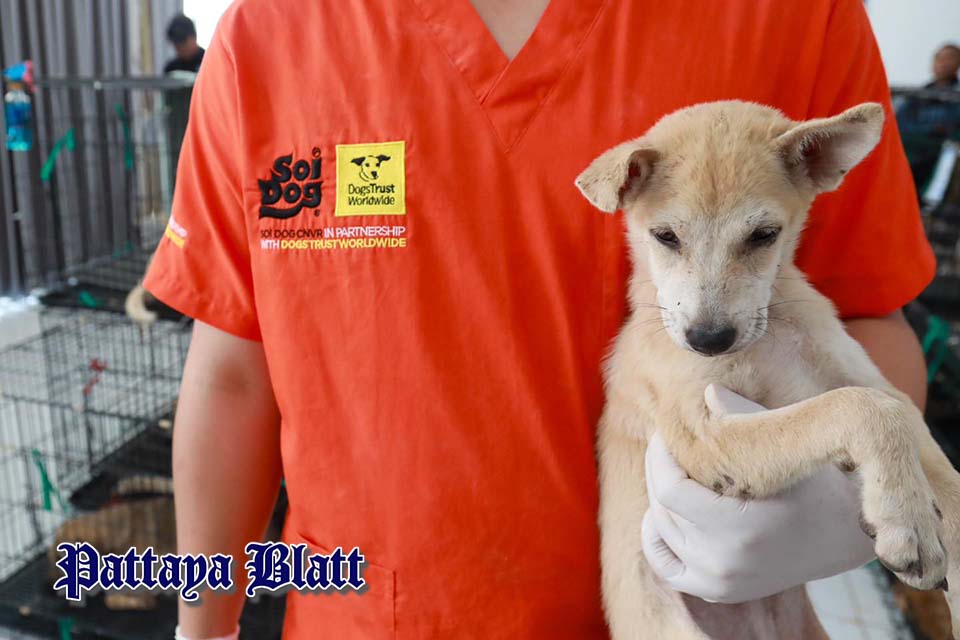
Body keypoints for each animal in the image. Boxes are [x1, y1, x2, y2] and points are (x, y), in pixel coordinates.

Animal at [575, 100, 960, 639]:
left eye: (764, 235)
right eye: (665, 236)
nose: (708, 340)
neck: (766, 340)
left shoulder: (860, 376)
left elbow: (913, 435)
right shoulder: (701, 437)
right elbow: (860, 410)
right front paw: (907, 522)